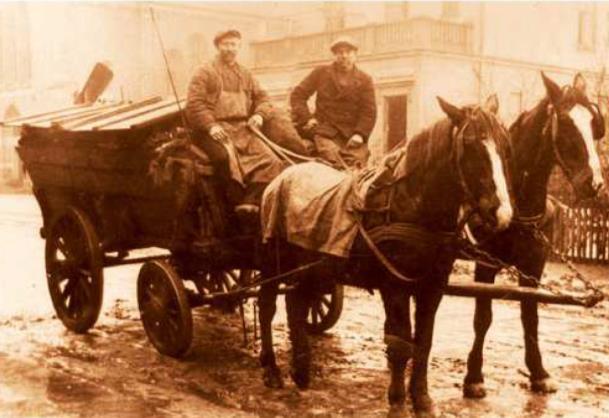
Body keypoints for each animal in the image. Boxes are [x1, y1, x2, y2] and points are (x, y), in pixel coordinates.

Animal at [256, 97, 512, 414]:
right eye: (470, 144)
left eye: (505, 143)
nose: (501, 213)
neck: (412, 203)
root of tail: (283, 176)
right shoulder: (395, 286)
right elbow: (400, 345)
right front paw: (398, 403)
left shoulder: (433, 287)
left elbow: (424, 341)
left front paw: (422, 399)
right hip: (273, 263)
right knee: (267, 307)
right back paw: (271, 369)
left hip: (313, 267)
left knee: (297, 303)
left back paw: (301, 370)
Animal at [464, 72, 604, 398]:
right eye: (565, 122)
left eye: (594, 123)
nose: (594, 183)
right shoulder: (484, 264)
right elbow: (482, 318)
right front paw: (474, 376)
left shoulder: (533, 266)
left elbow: (530, 315)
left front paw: (539, 373)